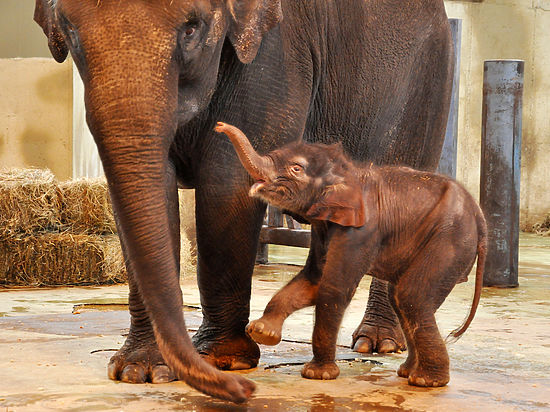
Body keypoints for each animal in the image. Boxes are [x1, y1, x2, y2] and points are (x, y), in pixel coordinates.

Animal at [36, 0, 454, 402]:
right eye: (69, 29)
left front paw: (224, 360)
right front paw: (139, 371)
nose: (243, 391)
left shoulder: (278, 54)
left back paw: (376, 343)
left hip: (427, 77)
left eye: (192, 27)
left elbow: (227, 182)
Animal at [215, 121, 488, 386]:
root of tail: (480, 217)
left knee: (412, 296)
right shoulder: (323, 227)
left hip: (450, 240)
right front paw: (262, 332)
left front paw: (318, 375)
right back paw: (407, 372)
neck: (348, 172)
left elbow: (333, 288)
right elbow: (312, 280)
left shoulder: (361, 231)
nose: (219, 126)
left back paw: (426, 381)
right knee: (402, 298)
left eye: (296, 169)